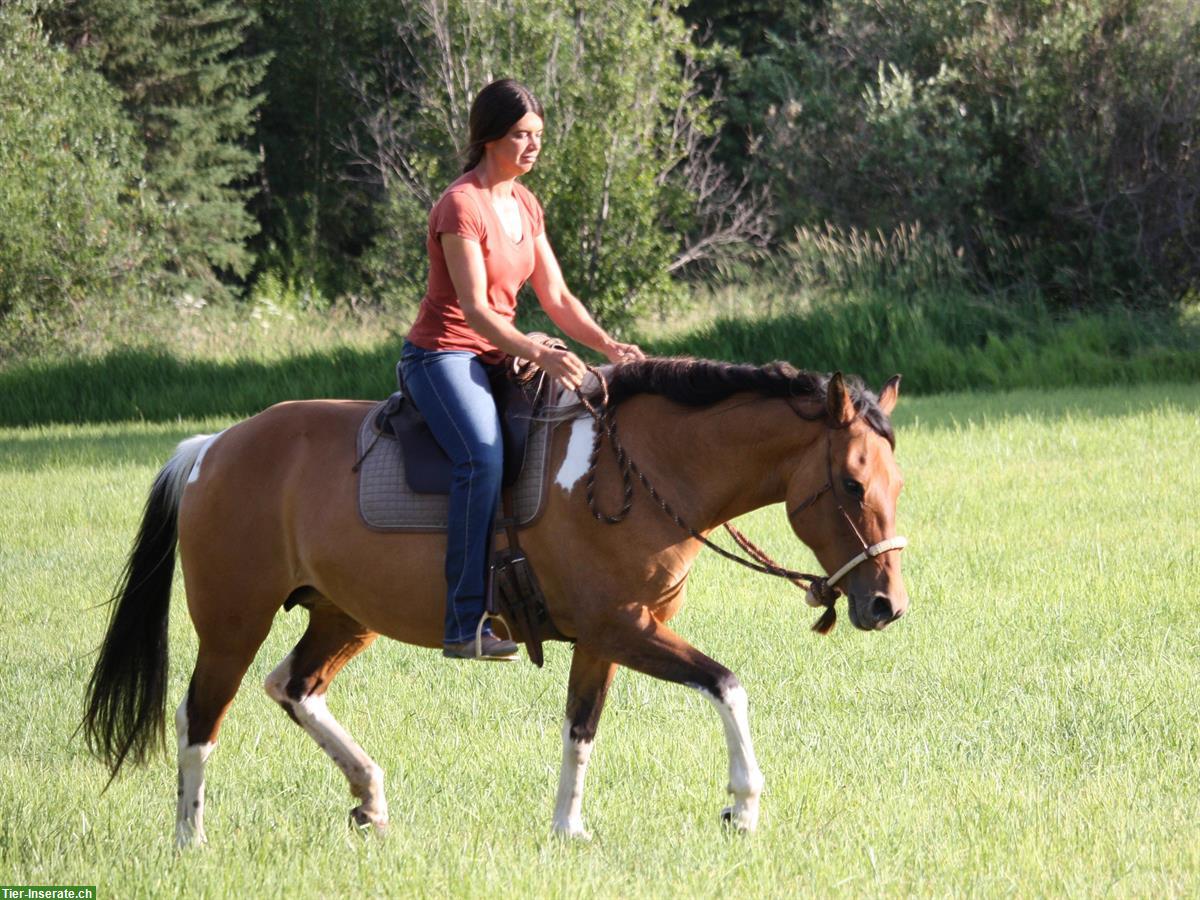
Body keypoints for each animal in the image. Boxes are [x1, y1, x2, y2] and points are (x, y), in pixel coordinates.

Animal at [82, 357, 907, 844]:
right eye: (851, 484)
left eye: (897, 483)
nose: (887, 606)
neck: (642, 472)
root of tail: (213, 448)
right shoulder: (624, 628)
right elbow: (728, 686)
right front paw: (743, 804)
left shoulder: (604, 640)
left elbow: (581, 730)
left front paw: (567, 829)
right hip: (233, 623)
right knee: (200, 718)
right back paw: (191, 838)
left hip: (344, 616)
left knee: (294, 688)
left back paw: (370, 797)